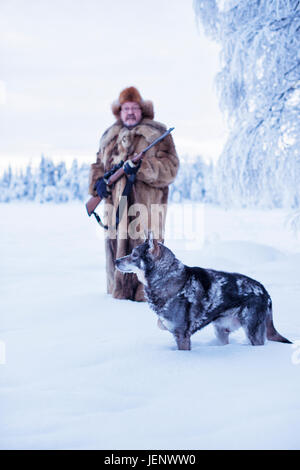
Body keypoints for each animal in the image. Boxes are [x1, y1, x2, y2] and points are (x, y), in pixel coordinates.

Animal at [115, 233, 290, 350]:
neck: (167, 278)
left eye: (134, 255)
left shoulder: (182, 336)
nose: (116, 261)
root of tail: (265, 291)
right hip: (221, 331)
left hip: (252, 332)